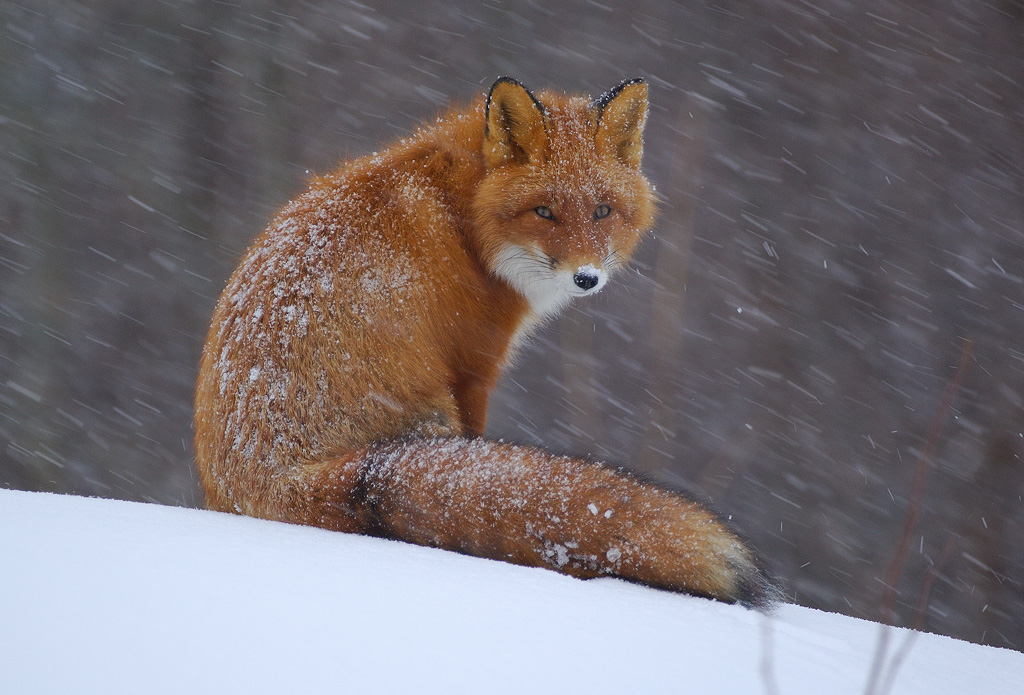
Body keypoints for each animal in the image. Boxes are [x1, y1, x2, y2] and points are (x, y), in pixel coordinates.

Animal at [193, 76, 774, 605]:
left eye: (602, 211)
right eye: (544, 212)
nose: (587, 278)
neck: (465, 215)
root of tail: (274, 477)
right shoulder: (474, 366)